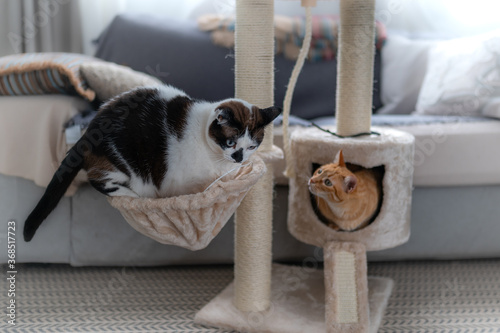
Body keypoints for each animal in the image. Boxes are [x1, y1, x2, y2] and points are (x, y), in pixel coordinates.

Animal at [23, 85, 280, 241]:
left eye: (252, 146)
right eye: (230, 142)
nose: (239, 158)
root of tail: (87, 132)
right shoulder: (179, 181)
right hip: (121, 164)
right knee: (101, 180)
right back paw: (134, 197)